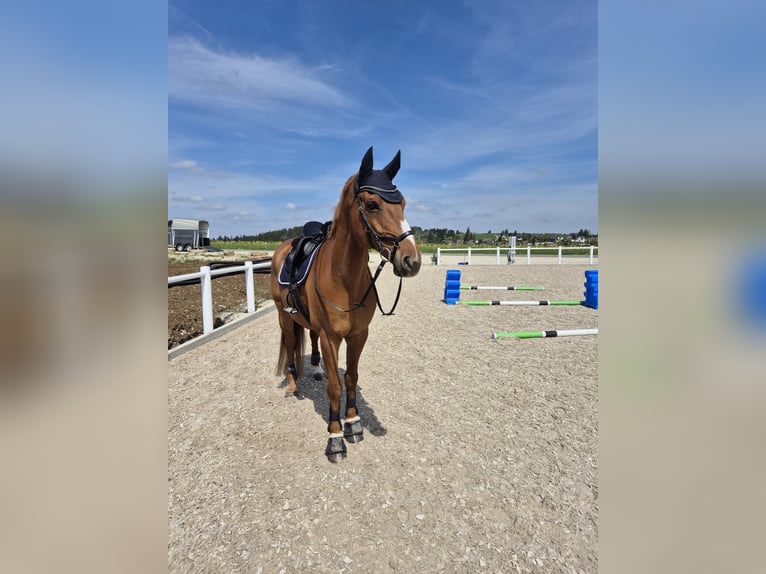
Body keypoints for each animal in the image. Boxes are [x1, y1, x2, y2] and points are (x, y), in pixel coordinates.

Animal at [270, 147, 421, 462]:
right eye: (373, 204)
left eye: (402, 202)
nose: (411, 260)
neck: (344, 277)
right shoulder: (332, 338)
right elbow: (335, 387)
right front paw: (335, 436)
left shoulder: (358, 335)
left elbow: (350, 377)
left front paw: (352, 423)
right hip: (284, 317)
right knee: (290, 345)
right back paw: (292, 385)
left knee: (310, 337)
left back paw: (316, 369)